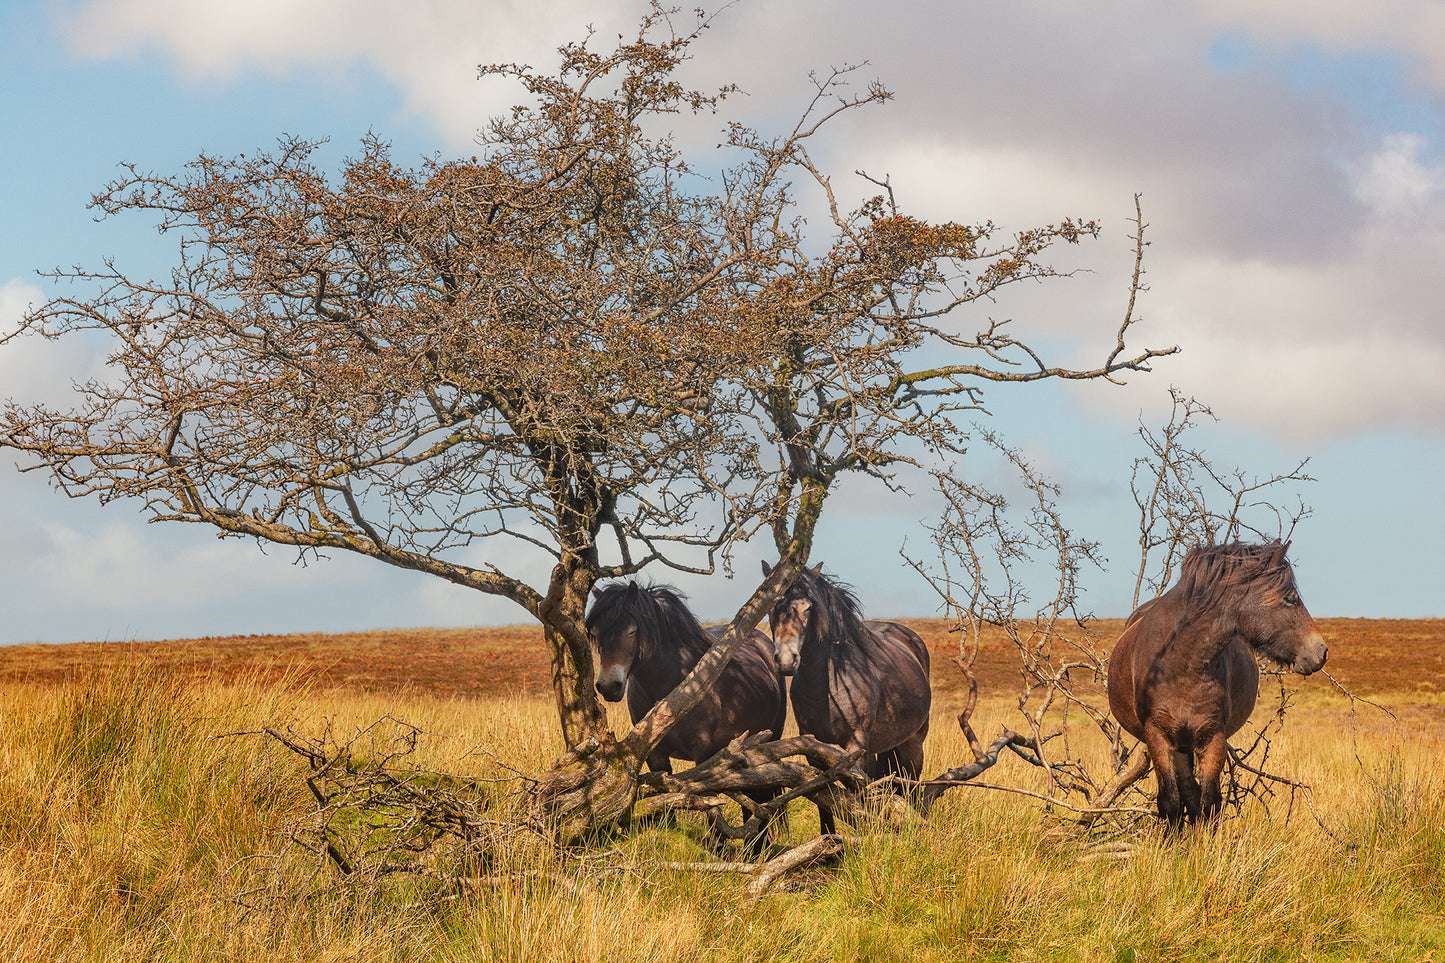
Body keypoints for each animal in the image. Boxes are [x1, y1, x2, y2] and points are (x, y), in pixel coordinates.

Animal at [589, 578, 791, 838]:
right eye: (597, 635)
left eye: (631, 631)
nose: (608, 686)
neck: (674, 688)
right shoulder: (656, 756)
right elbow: (666, 808)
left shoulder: (704, 753)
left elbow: (713, 811)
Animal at [762, 558, 930, 827]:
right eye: (772, 606)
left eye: (808, 608)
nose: (786, 660)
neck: (826, 687)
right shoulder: (814, 751)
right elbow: (824, 797)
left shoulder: (855, 748)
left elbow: (860, 794)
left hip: (913, 742)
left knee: (911, 783)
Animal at [1103, 540, 1329, 827]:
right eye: (1290, 598)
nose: (1321, 651)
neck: (1182, 664)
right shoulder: (1157, 735)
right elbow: (1170, 802)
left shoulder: (1213, 735)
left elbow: (1209, 803)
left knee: (1191, 793)